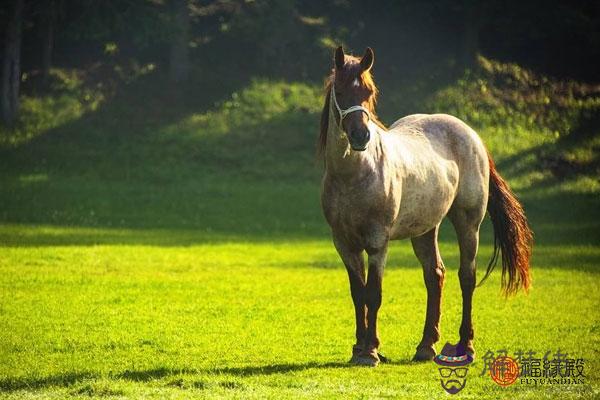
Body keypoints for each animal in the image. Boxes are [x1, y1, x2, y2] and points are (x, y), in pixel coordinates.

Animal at [322, 46, 532, 366]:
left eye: (369, 92)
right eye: (342, 90)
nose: (361, 136)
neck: (354, 175)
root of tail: (472, 135)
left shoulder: (377, 242)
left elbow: (374, 293)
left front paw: (371, 351)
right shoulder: (344, 243)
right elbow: (358, 293)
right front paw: (359, 349)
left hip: (468, 223)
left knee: (466, 277)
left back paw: (465, 345)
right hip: (424, 230)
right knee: (435, 276)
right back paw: (426, 346)